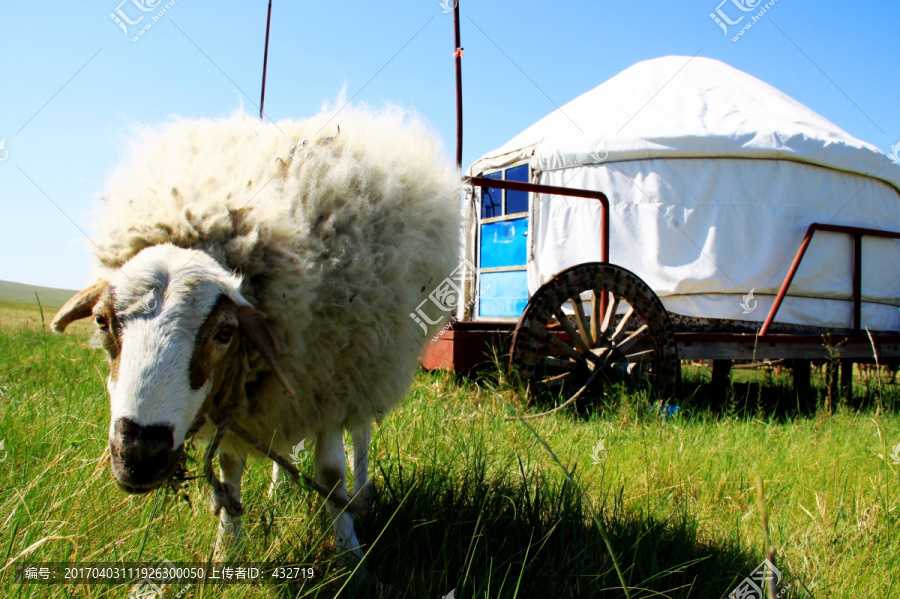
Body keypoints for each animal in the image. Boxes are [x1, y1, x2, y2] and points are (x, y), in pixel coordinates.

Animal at [49, 104, 460, 564]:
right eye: (101, 321)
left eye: (226, 332)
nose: (139, 454)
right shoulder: (242, 398)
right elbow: (229, 473)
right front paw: (227, 549)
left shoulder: (329, 384)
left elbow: (331, 475)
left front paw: (348, 552)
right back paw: (280, 489)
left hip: (366, 363)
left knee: (362, 435)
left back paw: (363, 493)